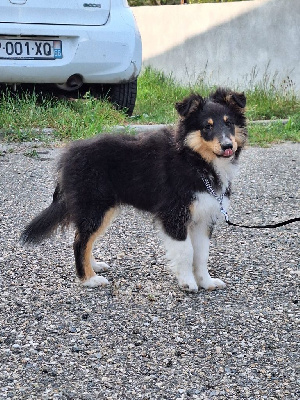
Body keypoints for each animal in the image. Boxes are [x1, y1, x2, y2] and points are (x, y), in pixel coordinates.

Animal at [20, 88, 246, 294]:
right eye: (207, 127)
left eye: (228, 123)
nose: (227, 146)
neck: (195, 161)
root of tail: (68, 157)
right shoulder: (174, 214)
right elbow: (185, 252)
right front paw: (188, 283)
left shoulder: (204, 217)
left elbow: (201, 254)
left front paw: (207, 282)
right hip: (95, 205)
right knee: (79, 242)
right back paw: (89, 279)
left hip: (103, 209)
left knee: (85, 239)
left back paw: (93, 267)